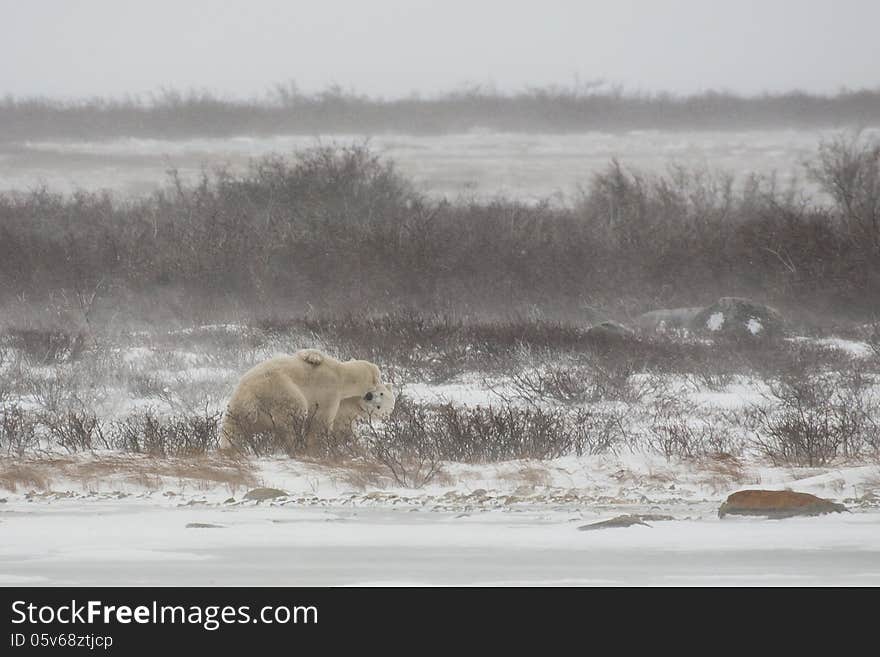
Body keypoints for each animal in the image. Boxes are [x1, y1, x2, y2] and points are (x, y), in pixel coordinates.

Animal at [220, 348, 396, 456]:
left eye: (379, 406)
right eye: (378, 390)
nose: (370, 396)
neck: (341, 377)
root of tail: (250, 401)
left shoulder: (332, 396)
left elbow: (324, 422)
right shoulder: (330, 380)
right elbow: (310, 353)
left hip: (251, 403)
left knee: (234, 429)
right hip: (271, 387)